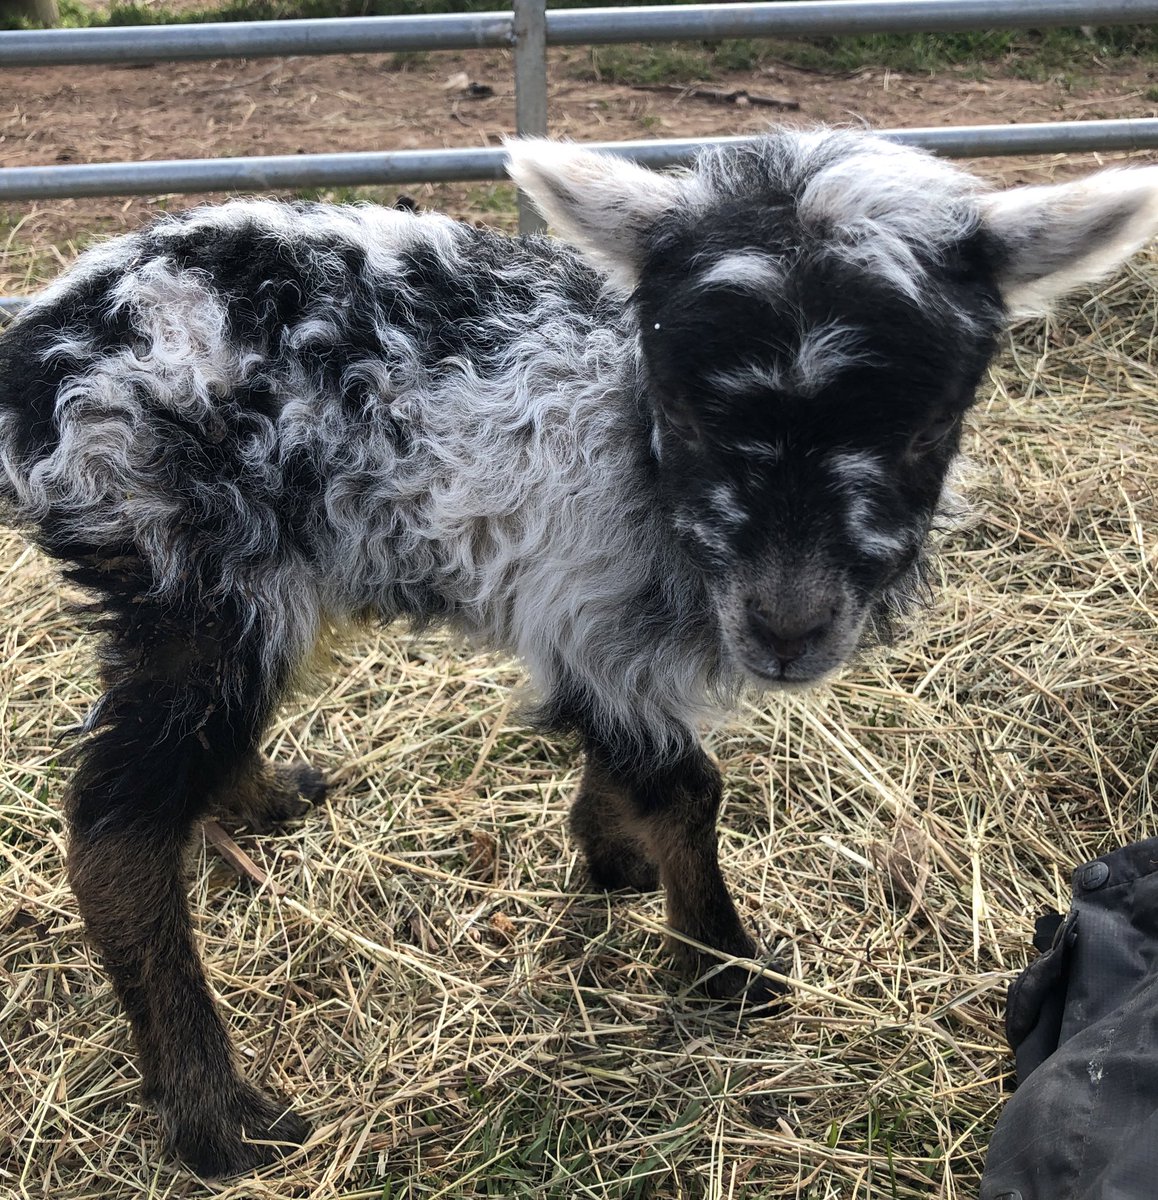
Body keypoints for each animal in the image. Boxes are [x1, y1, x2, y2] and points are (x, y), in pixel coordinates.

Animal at [2, 127, 1157, 1176]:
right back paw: (219, 1117)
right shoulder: (585, 599)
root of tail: (37, 354)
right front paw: (722, 966)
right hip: (191, 566)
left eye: (926, 428)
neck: (632, 447)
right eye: (687, 412)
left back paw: (265, 799)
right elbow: (684, 784)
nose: (787, 631)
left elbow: (632, 759)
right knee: (116, 827)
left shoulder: (590, 617)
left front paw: (610, 855)